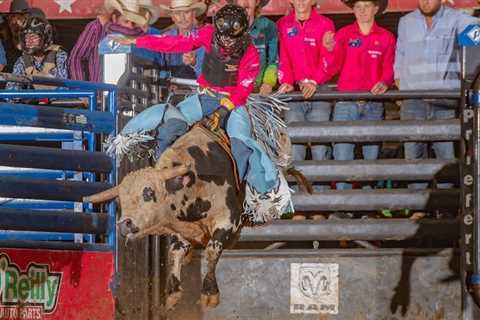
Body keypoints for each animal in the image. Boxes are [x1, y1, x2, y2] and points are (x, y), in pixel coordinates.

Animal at [83, 125, 244, 310]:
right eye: (120, 201)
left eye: (148, 193)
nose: (124, 224)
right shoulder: (180, 229)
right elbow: (175, 253)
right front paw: (173, 293)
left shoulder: (230, 219)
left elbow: (212, 249)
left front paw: (209, 293)